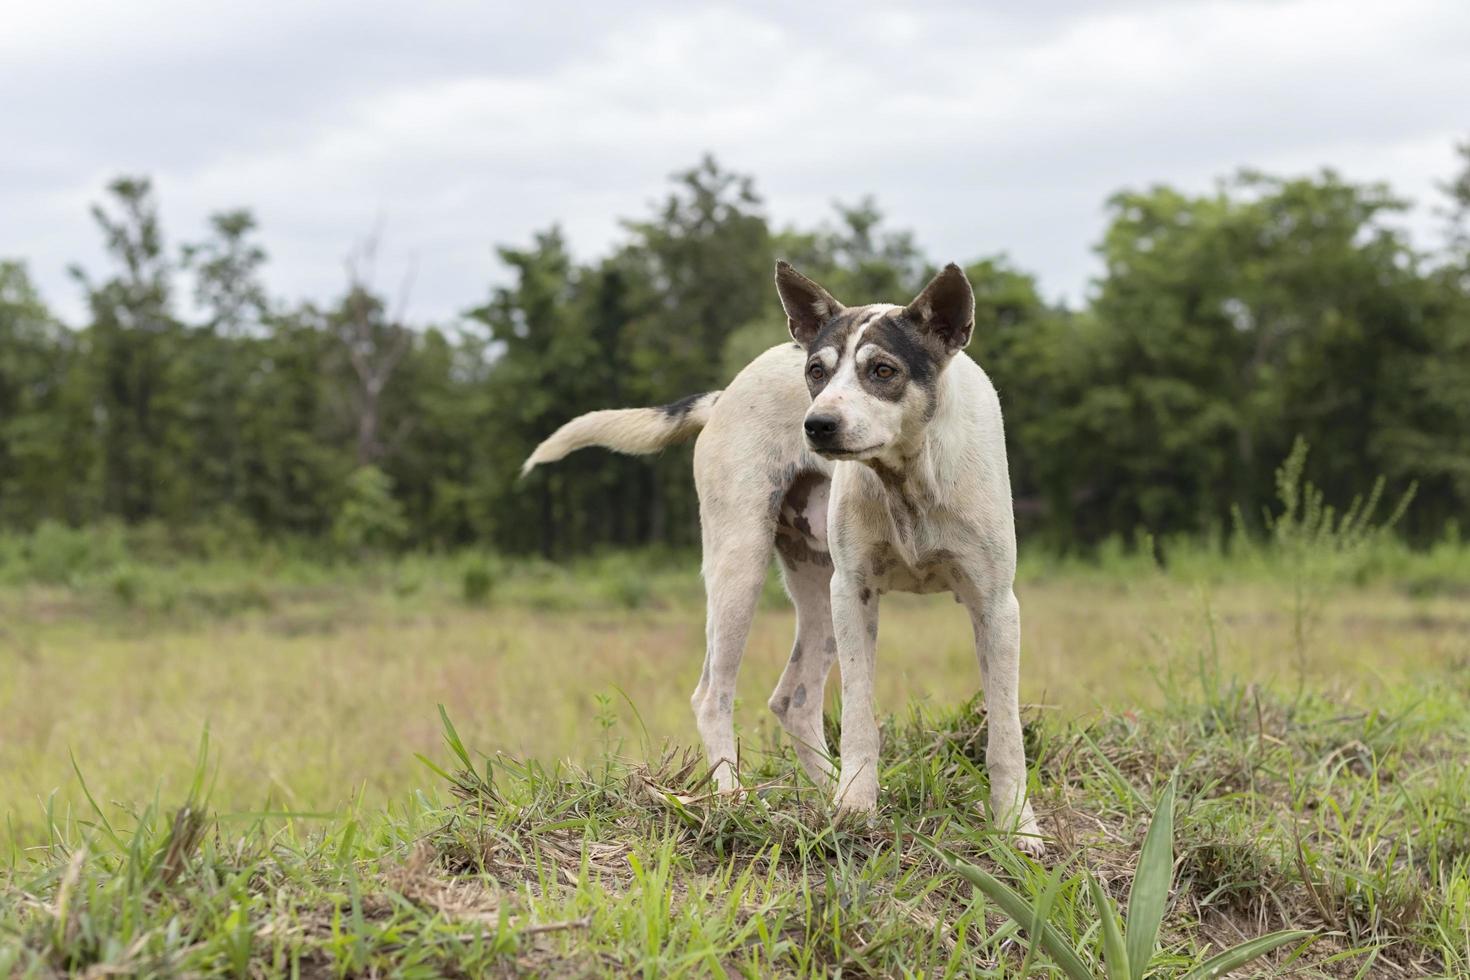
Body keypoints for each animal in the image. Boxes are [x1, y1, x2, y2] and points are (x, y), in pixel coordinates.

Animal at [529, 258, 1046, 852]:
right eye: (817, 371)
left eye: (883, 371)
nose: (816, 424)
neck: (908, 480)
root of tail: (724, 394)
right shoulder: (856, 593)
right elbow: (861, 718)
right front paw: (858, 809)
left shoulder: (995, 605)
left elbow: (1005, 734)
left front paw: (1017, 827)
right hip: (742, 569)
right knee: (714, 695)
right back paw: (735, 799)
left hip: (818, 592)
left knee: (793, 700)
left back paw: (825, 793)